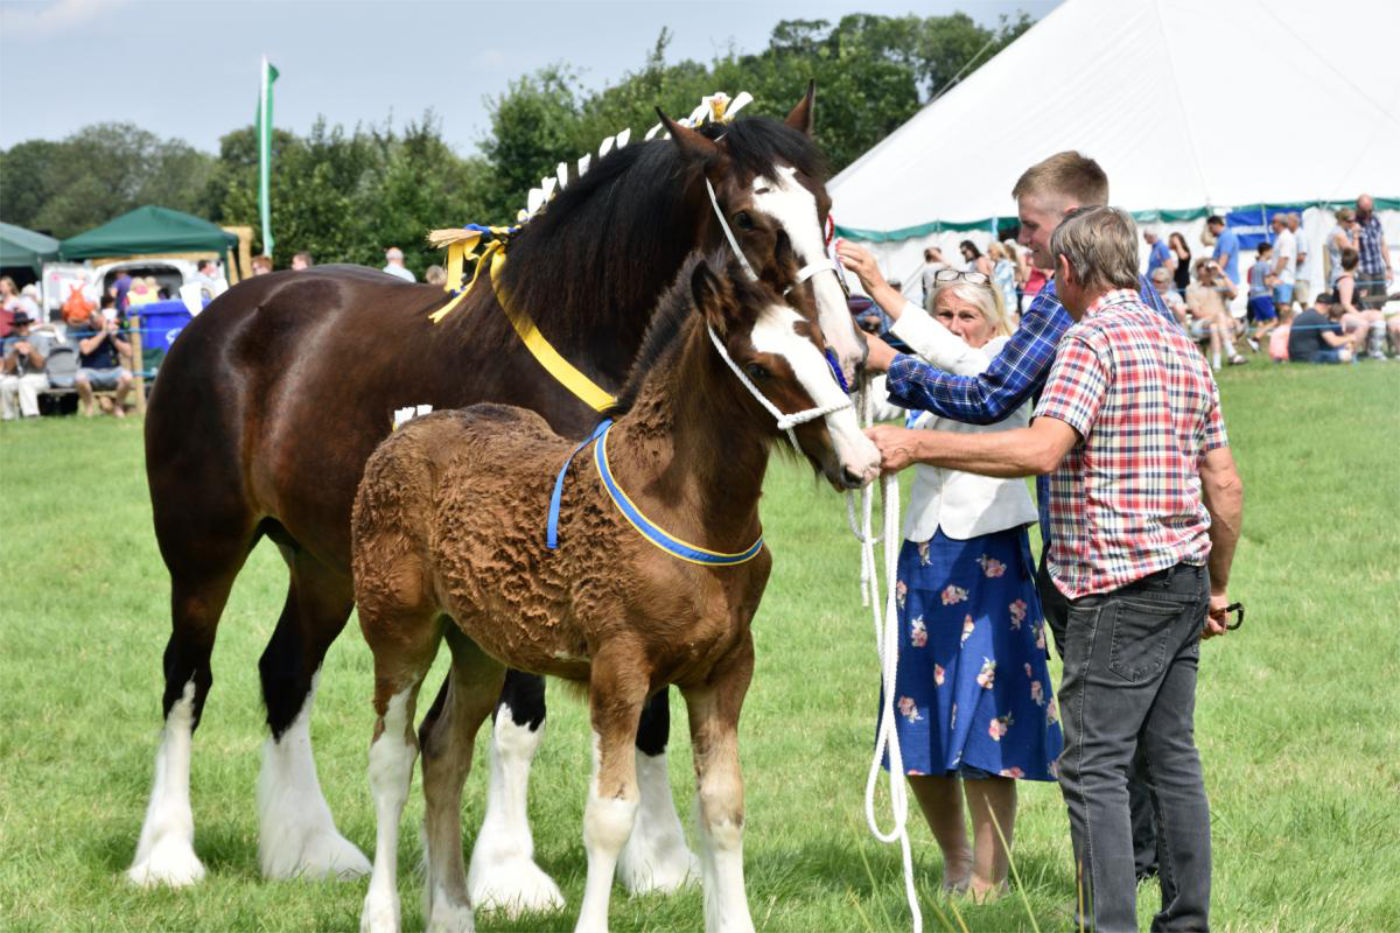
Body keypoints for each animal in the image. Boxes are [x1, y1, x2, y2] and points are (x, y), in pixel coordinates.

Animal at [350, 250, 873, 930]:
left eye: (823, 351)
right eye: (761, 367)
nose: (860, 462)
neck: (682, 506)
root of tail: (405, 430)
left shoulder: (725, 670)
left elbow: (724, 808)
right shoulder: (620, 670)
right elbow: (609, 817)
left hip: (480, 649)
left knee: (445, 752)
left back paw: (454, 914)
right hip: (399, 632)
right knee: (392, 757)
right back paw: (383, 913)